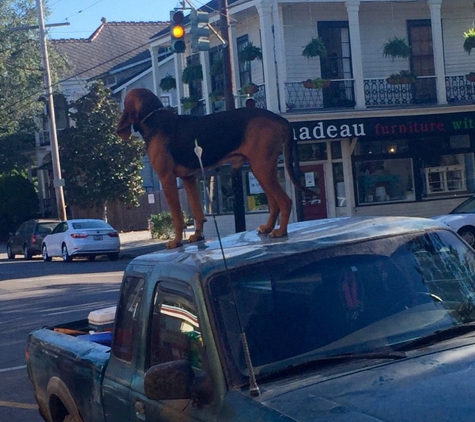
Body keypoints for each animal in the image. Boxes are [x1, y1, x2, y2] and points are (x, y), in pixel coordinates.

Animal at [117, 87, 314, 249]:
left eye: (124, 101)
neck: (155, 119)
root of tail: (278, 117)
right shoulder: (188, 178)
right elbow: (197, 211)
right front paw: (197, 236)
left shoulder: (167, 179)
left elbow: (177, 216)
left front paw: (176, 241)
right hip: (261, 169)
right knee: (274, 203)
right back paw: (268, 227)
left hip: (262, 169)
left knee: (285, 201)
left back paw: (280, 231)